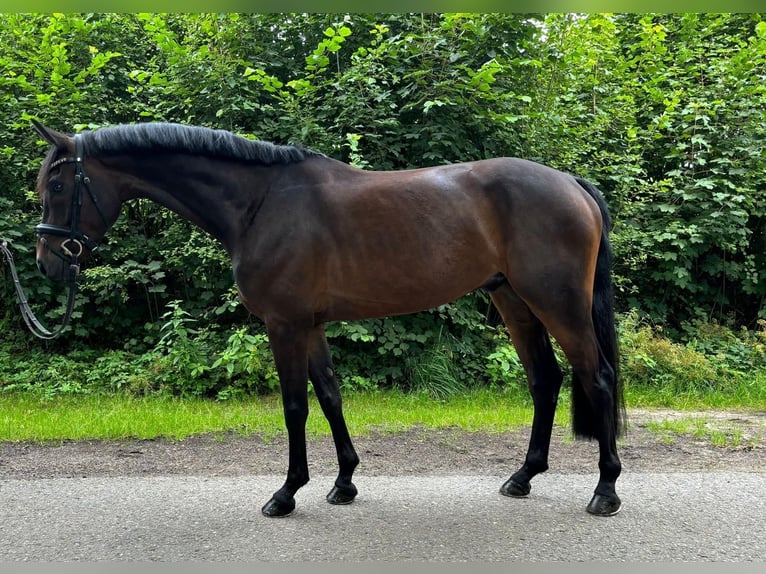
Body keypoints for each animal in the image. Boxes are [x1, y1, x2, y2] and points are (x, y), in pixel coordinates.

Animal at [33, 119, 628, 520]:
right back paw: (523, 477)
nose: (47, 262)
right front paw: (343, 483)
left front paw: (286, 492)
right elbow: (330, 394)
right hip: (515, 303)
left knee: (597, 377)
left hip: (558, 304)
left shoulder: (284, 324)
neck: (259, 204)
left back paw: (605, 491)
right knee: (545, 380)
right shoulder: (311, 325)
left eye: (58, 187)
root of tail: (572, 184)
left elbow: (295, 406)